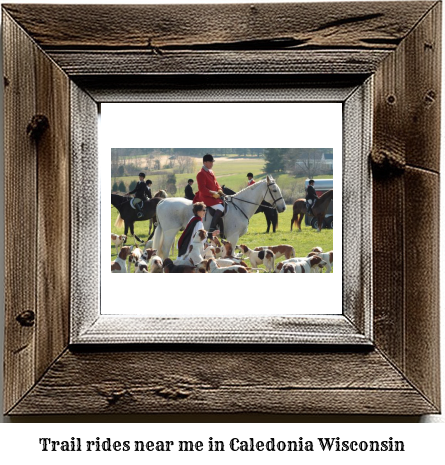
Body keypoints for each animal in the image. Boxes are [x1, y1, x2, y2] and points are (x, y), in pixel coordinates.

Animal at [153, 176, 284, 260]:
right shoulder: (233, 237)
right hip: (170, 232)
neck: (240, 206)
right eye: (274, 190)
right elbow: (230, 255)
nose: (283, 207)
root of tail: (163, 201)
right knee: (165, 250)